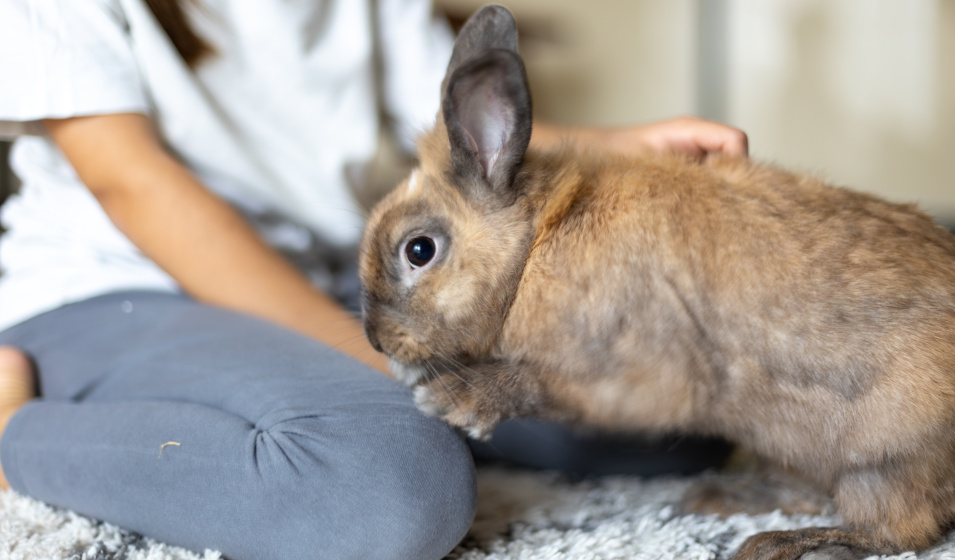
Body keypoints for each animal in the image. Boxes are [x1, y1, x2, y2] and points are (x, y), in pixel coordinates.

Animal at [358, 5, 955, 559]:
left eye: (419, 251)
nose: (376, 340)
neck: (533, 248)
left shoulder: (635, 372)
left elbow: (540, 385)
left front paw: (453, 399)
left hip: (885, 459)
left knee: (897, 529)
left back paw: (780, 543)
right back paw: (720, 500)